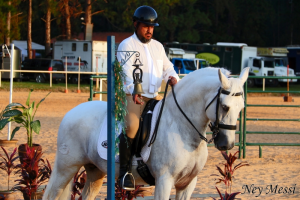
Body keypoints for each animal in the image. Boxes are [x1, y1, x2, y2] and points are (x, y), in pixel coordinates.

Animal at [42, 67, 248, 200]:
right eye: (224, 106)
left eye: (241, 108)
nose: (227, 144)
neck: (181, 126)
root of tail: (71, 112)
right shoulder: (164, 181)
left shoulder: (188, 183)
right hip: (66, 168)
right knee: (50, 194)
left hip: (95, 172)